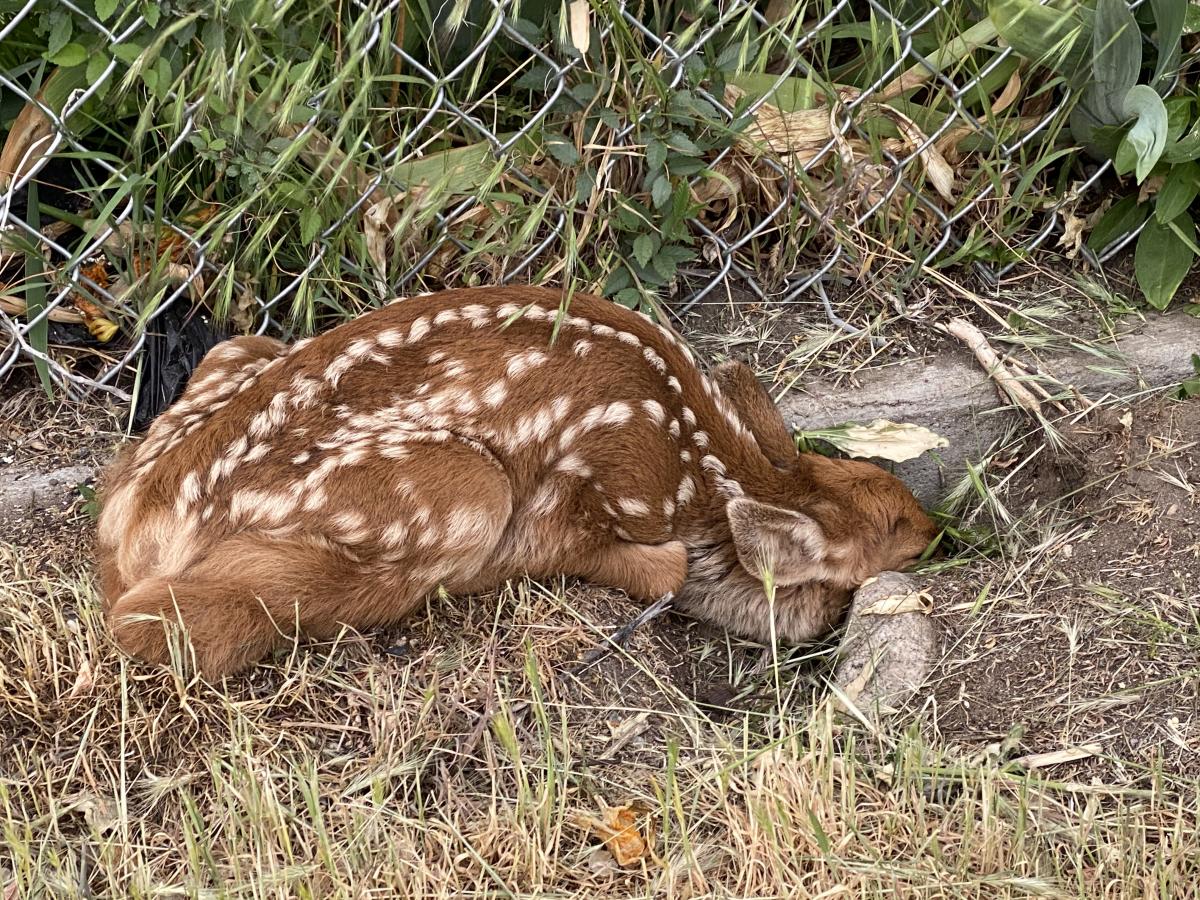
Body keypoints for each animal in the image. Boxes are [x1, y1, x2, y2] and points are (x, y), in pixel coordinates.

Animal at [96, 286, 939, 677]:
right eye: (893, 531)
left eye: (880, 480)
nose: (935, 528)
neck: (706, 478)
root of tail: (144, 513)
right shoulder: (592, 488)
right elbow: (645, 565)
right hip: (462, 490)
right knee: (152, 618)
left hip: (236, 349)